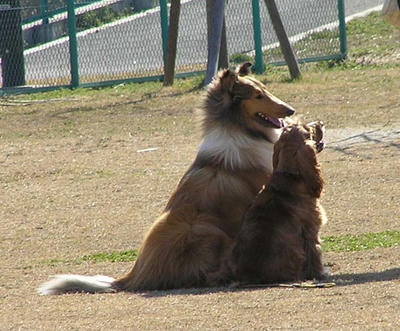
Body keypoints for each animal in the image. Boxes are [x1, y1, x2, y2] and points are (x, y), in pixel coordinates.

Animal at [231, 123, 328, 284]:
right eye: (309, 130)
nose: (320, 123)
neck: (289, 175)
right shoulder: (311, 229)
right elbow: (314, 253)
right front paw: (319, 273)